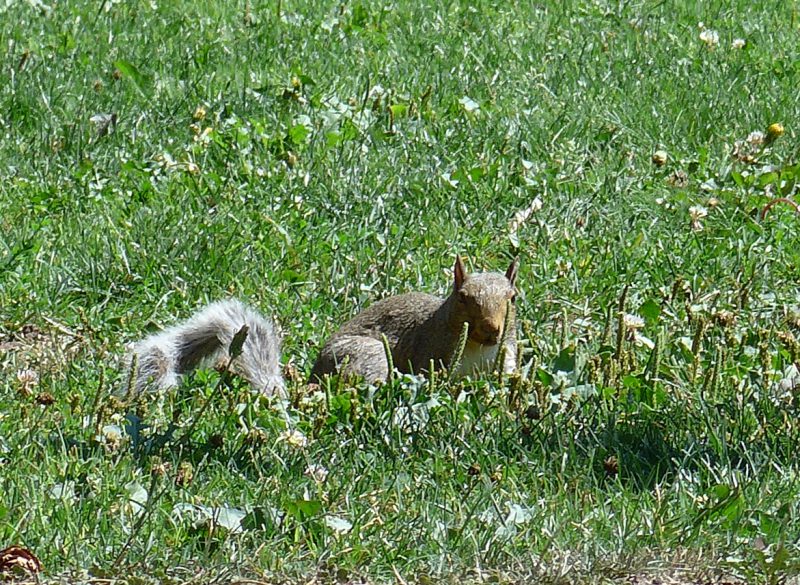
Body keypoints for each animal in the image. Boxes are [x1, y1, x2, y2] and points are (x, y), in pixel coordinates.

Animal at [310, 256, 516, 384]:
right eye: (462, 298)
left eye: (513, 298)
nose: (491, 328)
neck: (477, 347)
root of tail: (315, 371)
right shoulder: (432, 354)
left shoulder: (506, 356)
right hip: (362, 353)